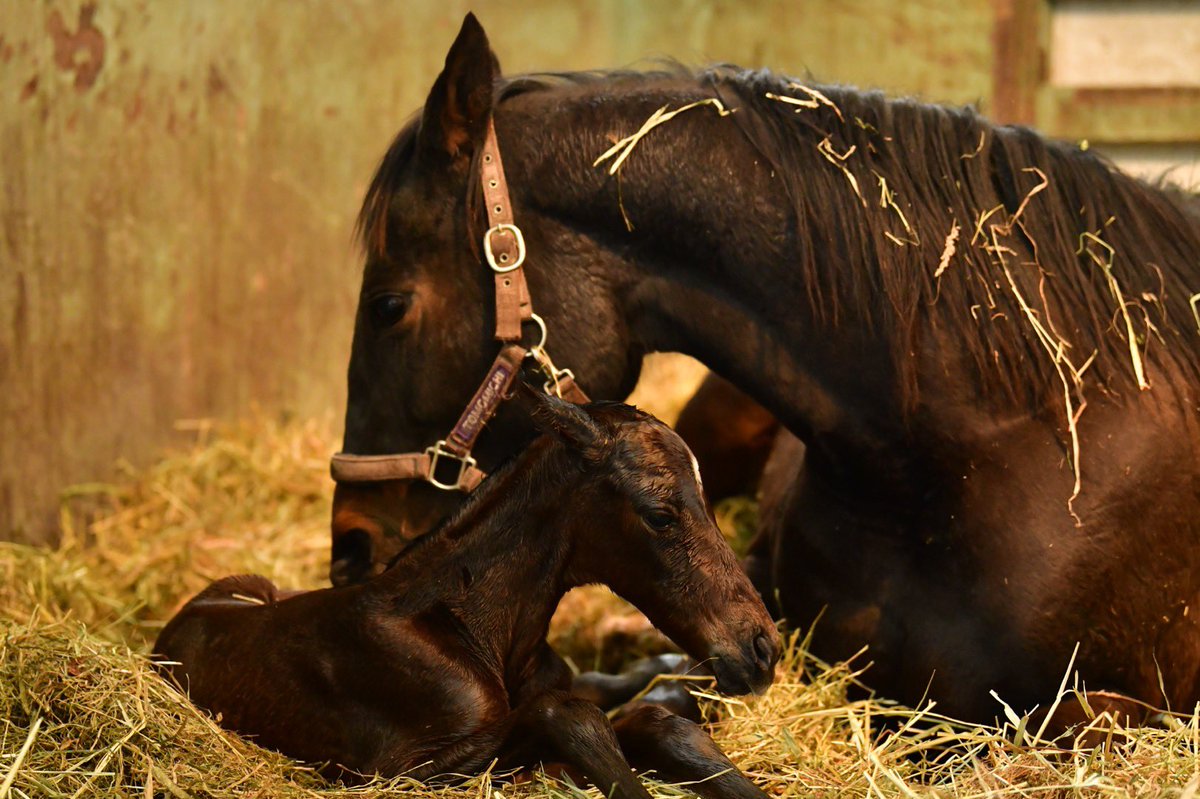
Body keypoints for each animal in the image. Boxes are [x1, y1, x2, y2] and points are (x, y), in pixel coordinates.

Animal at [157, 395, 777, 791]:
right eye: (660, 515)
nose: (763, 648)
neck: (475, 628)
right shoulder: (402, 774)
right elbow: (569, 714)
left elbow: (655, 722)